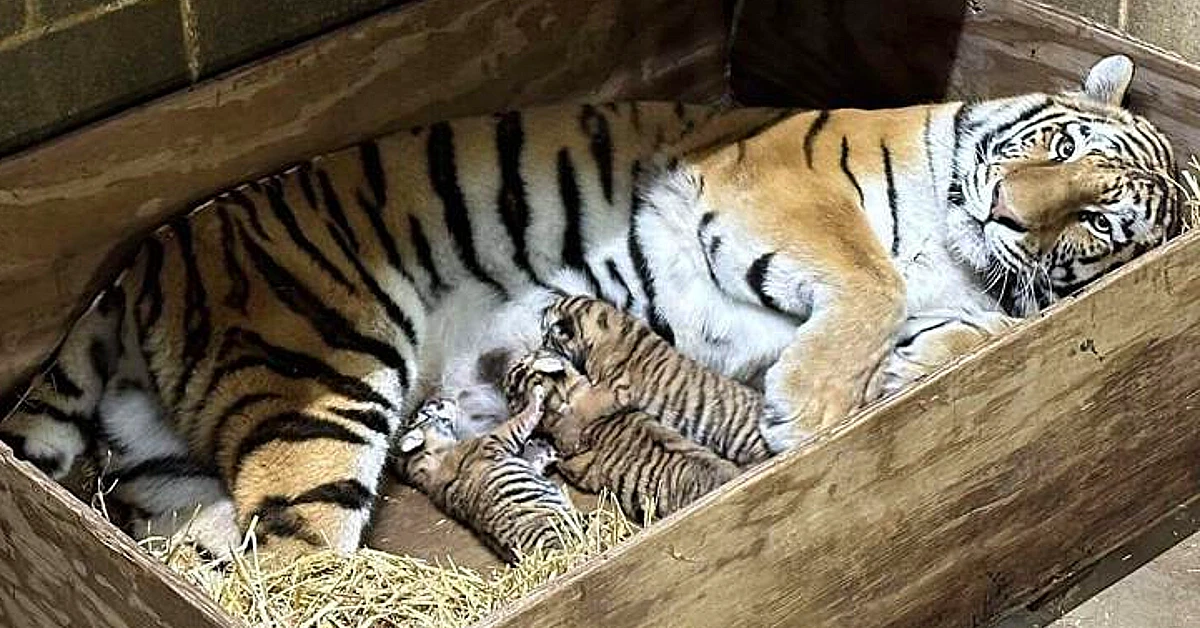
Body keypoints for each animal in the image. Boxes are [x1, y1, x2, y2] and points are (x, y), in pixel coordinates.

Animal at [393, 391, 576, 561]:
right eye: (431, 406)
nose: (438, 397)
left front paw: (543, 449)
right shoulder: (496, 438)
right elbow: (521, 419)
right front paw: (536, 395)